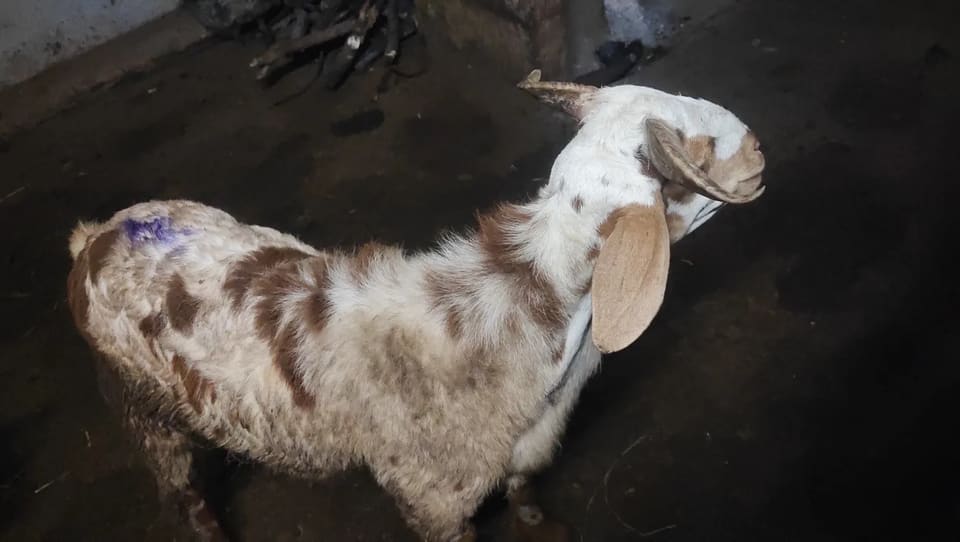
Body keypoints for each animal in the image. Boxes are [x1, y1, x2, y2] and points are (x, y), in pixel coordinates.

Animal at [66, 69, 766, 542]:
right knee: (184, 494)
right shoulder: (432, 496)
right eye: (698, 150)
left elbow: (525, 489)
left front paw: (540, 524)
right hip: (142, 410)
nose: (760, 148)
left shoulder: (525, 444)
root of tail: (95, 236)